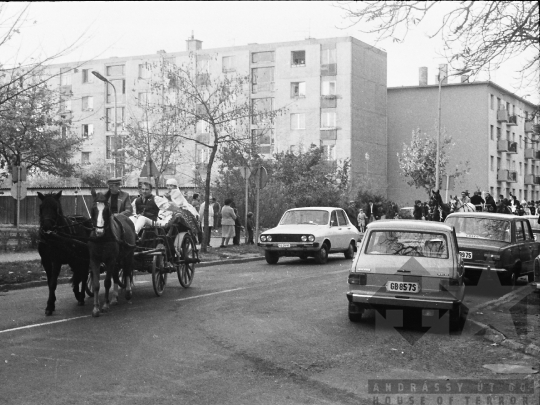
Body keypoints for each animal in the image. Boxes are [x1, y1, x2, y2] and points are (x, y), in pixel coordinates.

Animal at [88, 188, 135, 318]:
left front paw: (105, 305)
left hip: (128, 255)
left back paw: (128, 292)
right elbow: (96, 284)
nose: (99, 231)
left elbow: (107, 282)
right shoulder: (94, 260)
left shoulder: (110, 260)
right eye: (93, 209)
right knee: (117, 274)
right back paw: (114, 298)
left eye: (106, 210)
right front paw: (96, 308)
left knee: (127, 271)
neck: (102, 239)